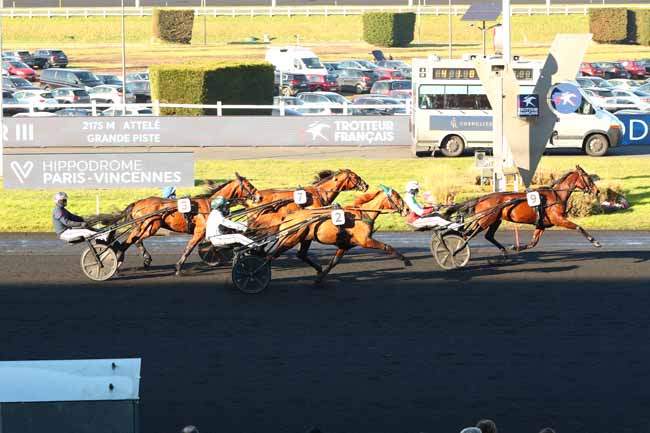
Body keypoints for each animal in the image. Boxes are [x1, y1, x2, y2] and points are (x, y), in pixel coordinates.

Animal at [104, 172, 260, 274]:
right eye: (248, 185)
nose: (259, 196)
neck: (210, 205)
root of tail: (137, 203)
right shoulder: (199, 231)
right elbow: (189, 248)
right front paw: (178, 267)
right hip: (149, 226)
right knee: (132, 241)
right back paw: (120, 260)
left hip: (148, 227)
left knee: (134, 241)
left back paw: (136, 260)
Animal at [268, 184, 410, 282]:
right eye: (397, 197)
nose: (408, 210)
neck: (363, 213)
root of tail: (288, 216)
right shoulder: (365, 241)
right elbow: (387, 246)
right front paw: (406, 260)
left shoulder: (344, 246)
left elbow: (333, 262)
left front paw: (319, 278)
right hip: (290, 239)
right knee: (270, 256)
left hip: (305, 238)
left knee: (301, 254)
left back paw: (318, 269)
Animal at [442, 165, 600, 260]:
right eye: (588, 177)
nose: (597, 191)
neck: (556, 196)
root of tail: (482, 198)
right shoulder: (558, 219)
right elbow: (578, 227)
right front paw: (595, 241)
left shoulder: (541, 224)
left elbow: (533, 243)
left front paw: (516, 247)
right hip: (486, 220)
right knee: (467, 235)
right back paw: (455, 251)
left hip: (493, 220)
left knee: (487, 235)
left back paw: (504, 251)